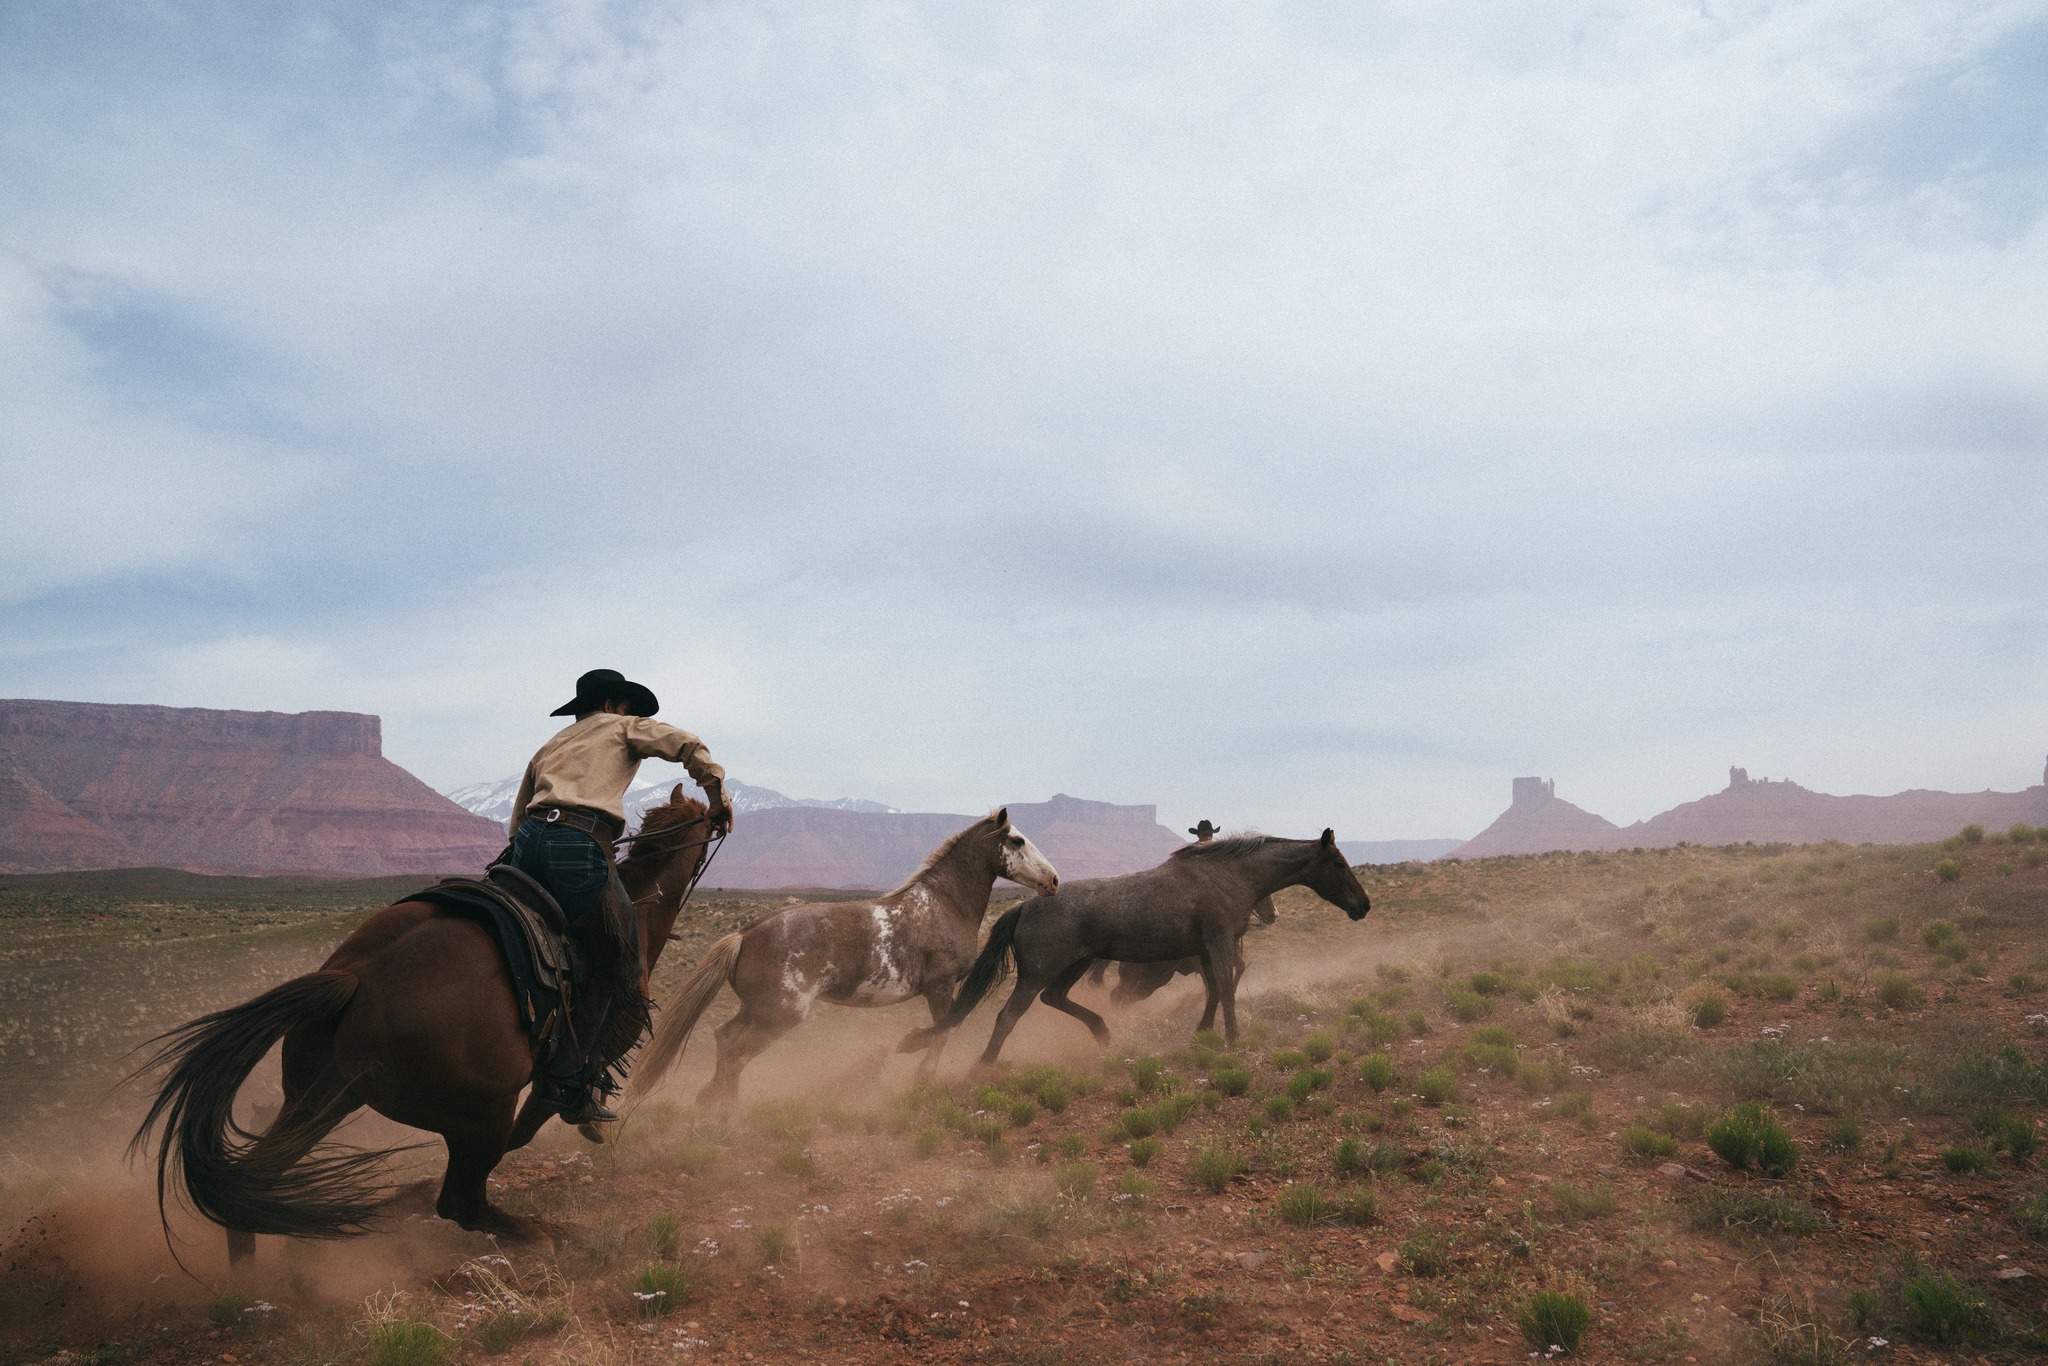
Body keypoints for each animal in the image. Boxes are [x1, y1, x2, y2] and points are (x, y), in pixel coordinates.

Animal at [132, 787, 717, 1265]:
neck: (640, 913)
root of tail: (355, 979)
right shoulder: (553, 1078)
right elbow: (529, 1129)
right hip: (475, 1111)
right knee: (462, 1201)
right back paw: (541, 1235)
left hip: (318, 1099)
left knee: (257, 1177)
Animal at [629, 809, 1058, 1109]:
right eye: (1017, 840)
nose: (1053, 880)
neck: (942, 905)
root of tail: (746, 934)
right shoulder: (939, 988)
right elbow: (943, 1031)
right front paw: (921, 1075)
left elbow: (944, 1031)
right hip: (778, 1017)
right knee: (736, 1055)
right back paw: (730, 1113)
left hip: (757, 1010)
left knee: (723, 1038)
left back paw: (708, 1099)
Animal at [901, 829, 1368, 1064]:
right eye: (1338, 862)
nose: (1363, 906)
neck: (1229, 875)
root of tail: (1025, 905)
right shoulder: (1218, 943)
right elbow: (1227, 991)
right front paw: (1234, 1039)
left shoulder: (1204, 949)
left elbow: (1215, 991)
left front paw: (1203, 1033)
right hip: (1037, 973)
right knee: (1008, 1016)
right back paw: (983, 1068)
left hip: (1075, 966)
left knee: (1056, 999)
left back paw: (1103, 1033)